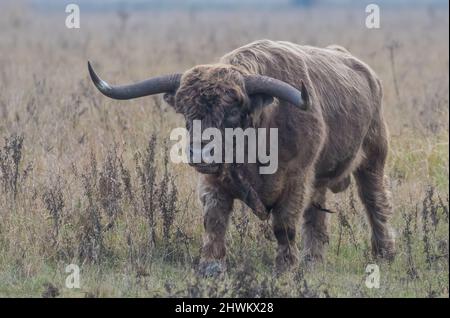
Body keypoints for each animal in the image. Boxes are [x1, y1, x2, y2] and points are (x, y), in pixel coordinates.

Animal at [89, 39, 398, 274]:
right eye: (187, 114)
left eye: (232, 113)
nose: (200, 151)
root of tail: (368, 74)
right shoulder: (214, 183)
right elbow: (214, 221)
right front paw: (211, 265)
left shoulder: (296, 180)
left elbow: (284, 226)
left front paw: (285, 266)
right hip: (321, 179)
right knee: (316, 215)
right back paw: (313, 260)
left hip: (373, 158)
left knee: (375, 202)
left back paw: (384, 252)